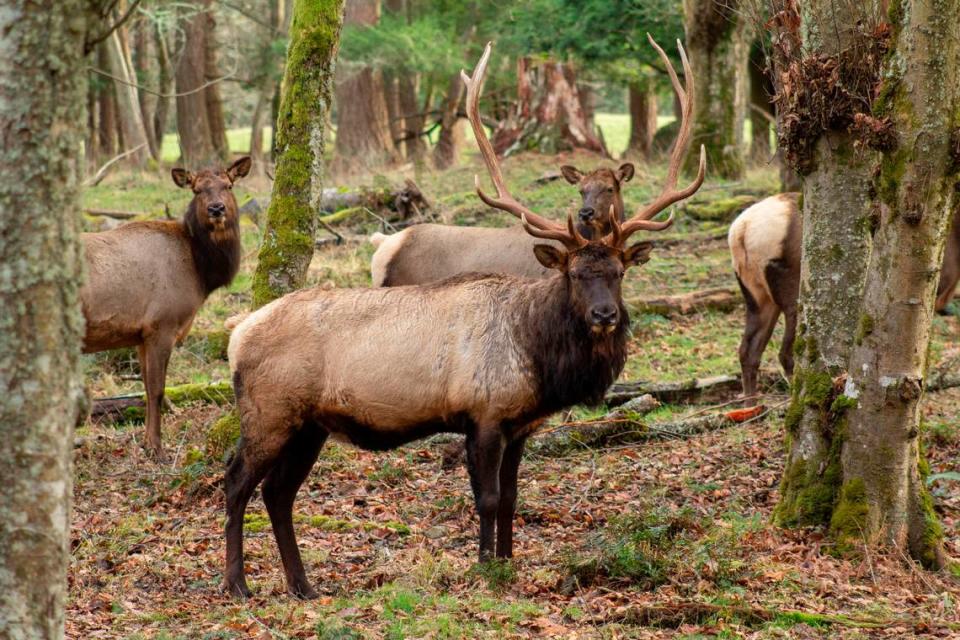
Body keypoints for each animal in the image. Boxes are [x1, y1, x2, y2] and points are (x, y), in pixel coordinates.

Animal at [81, 156, 251, 458]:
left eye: (229, 185)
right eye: (196, 189)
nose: (216, 208)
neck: (201, 273)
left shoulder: (140, 334)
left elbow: (146, 390)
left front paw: (147, 444)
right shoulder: (163, 324)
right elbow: (159, 389)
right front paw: (158, 449)